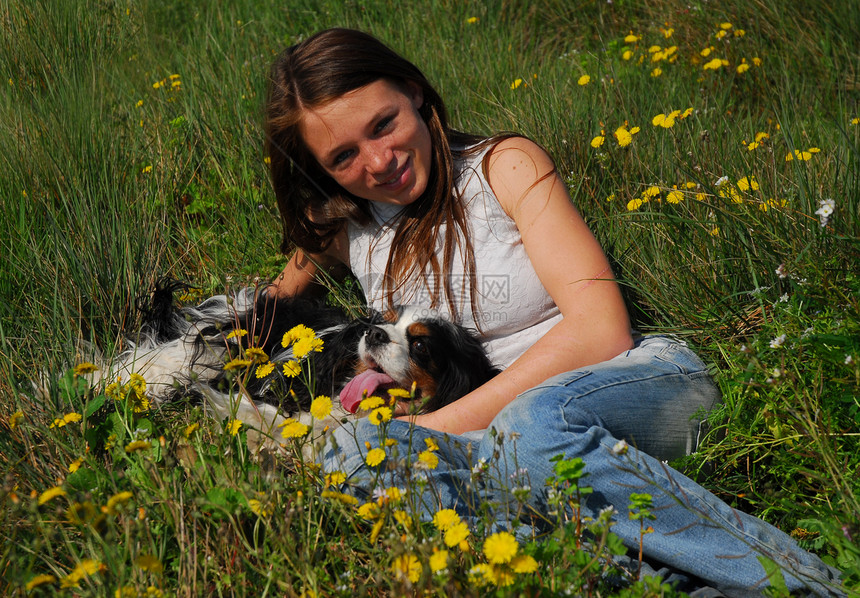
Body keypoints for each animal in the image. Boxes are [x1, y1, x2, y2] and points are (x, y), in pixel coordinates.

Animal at [104, 280, 500, 450]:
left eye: (419, 344)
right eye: (383, 322)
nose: (373, 334)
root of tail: (246, 302)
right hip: (209, 347)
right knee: (154, 359)